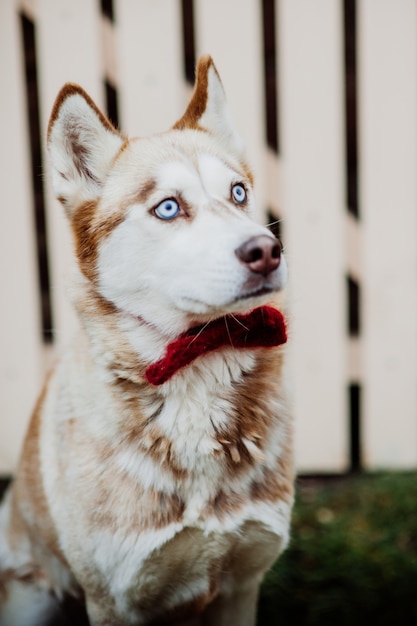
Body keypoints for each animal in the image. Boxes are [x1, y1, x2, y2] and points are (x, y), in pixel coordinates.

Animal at [0, 56, 292, 620]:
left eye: (238, 193)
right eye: (168, 208)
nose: (267, 250)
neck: (197, 363)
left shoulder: (243, 583)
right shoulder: (114, 598)